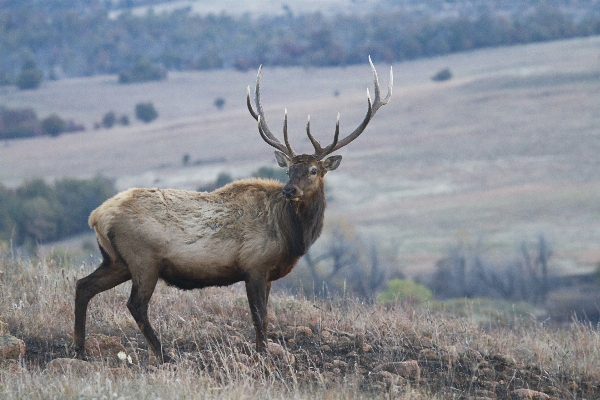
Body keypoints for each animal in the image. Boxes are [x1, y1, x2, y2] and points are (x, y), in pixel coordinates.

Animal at [74, 58, 394, 362]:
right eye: (290, 170)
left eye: (313, 170)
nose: (289, 190)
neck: (291, 236)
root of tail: (96, 217)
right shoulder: (254, 265)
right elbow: (260, 318)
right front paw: (264, 357)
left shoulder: (267, 273)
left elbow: (264, 318)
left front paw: (263, 353)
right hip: (143, 259)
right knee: (136, 305)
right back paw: (164, 355)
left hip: (116, 260)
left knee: (83, 286)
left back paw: (80, 350)